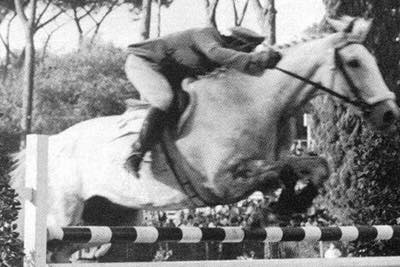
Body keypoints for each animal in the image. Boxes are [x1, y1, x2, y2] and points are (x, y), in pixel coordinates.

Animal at [10, 16, 398, 264]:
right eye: (354, 62)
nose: (390, 114)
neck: (255, 100)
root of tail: (49, 143)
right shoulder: (221, 183)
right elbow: (275, 172)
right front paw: (278, 206)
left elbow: (316, 166)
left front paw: (290, 203)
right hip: (62, 216)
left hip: (111, 217)